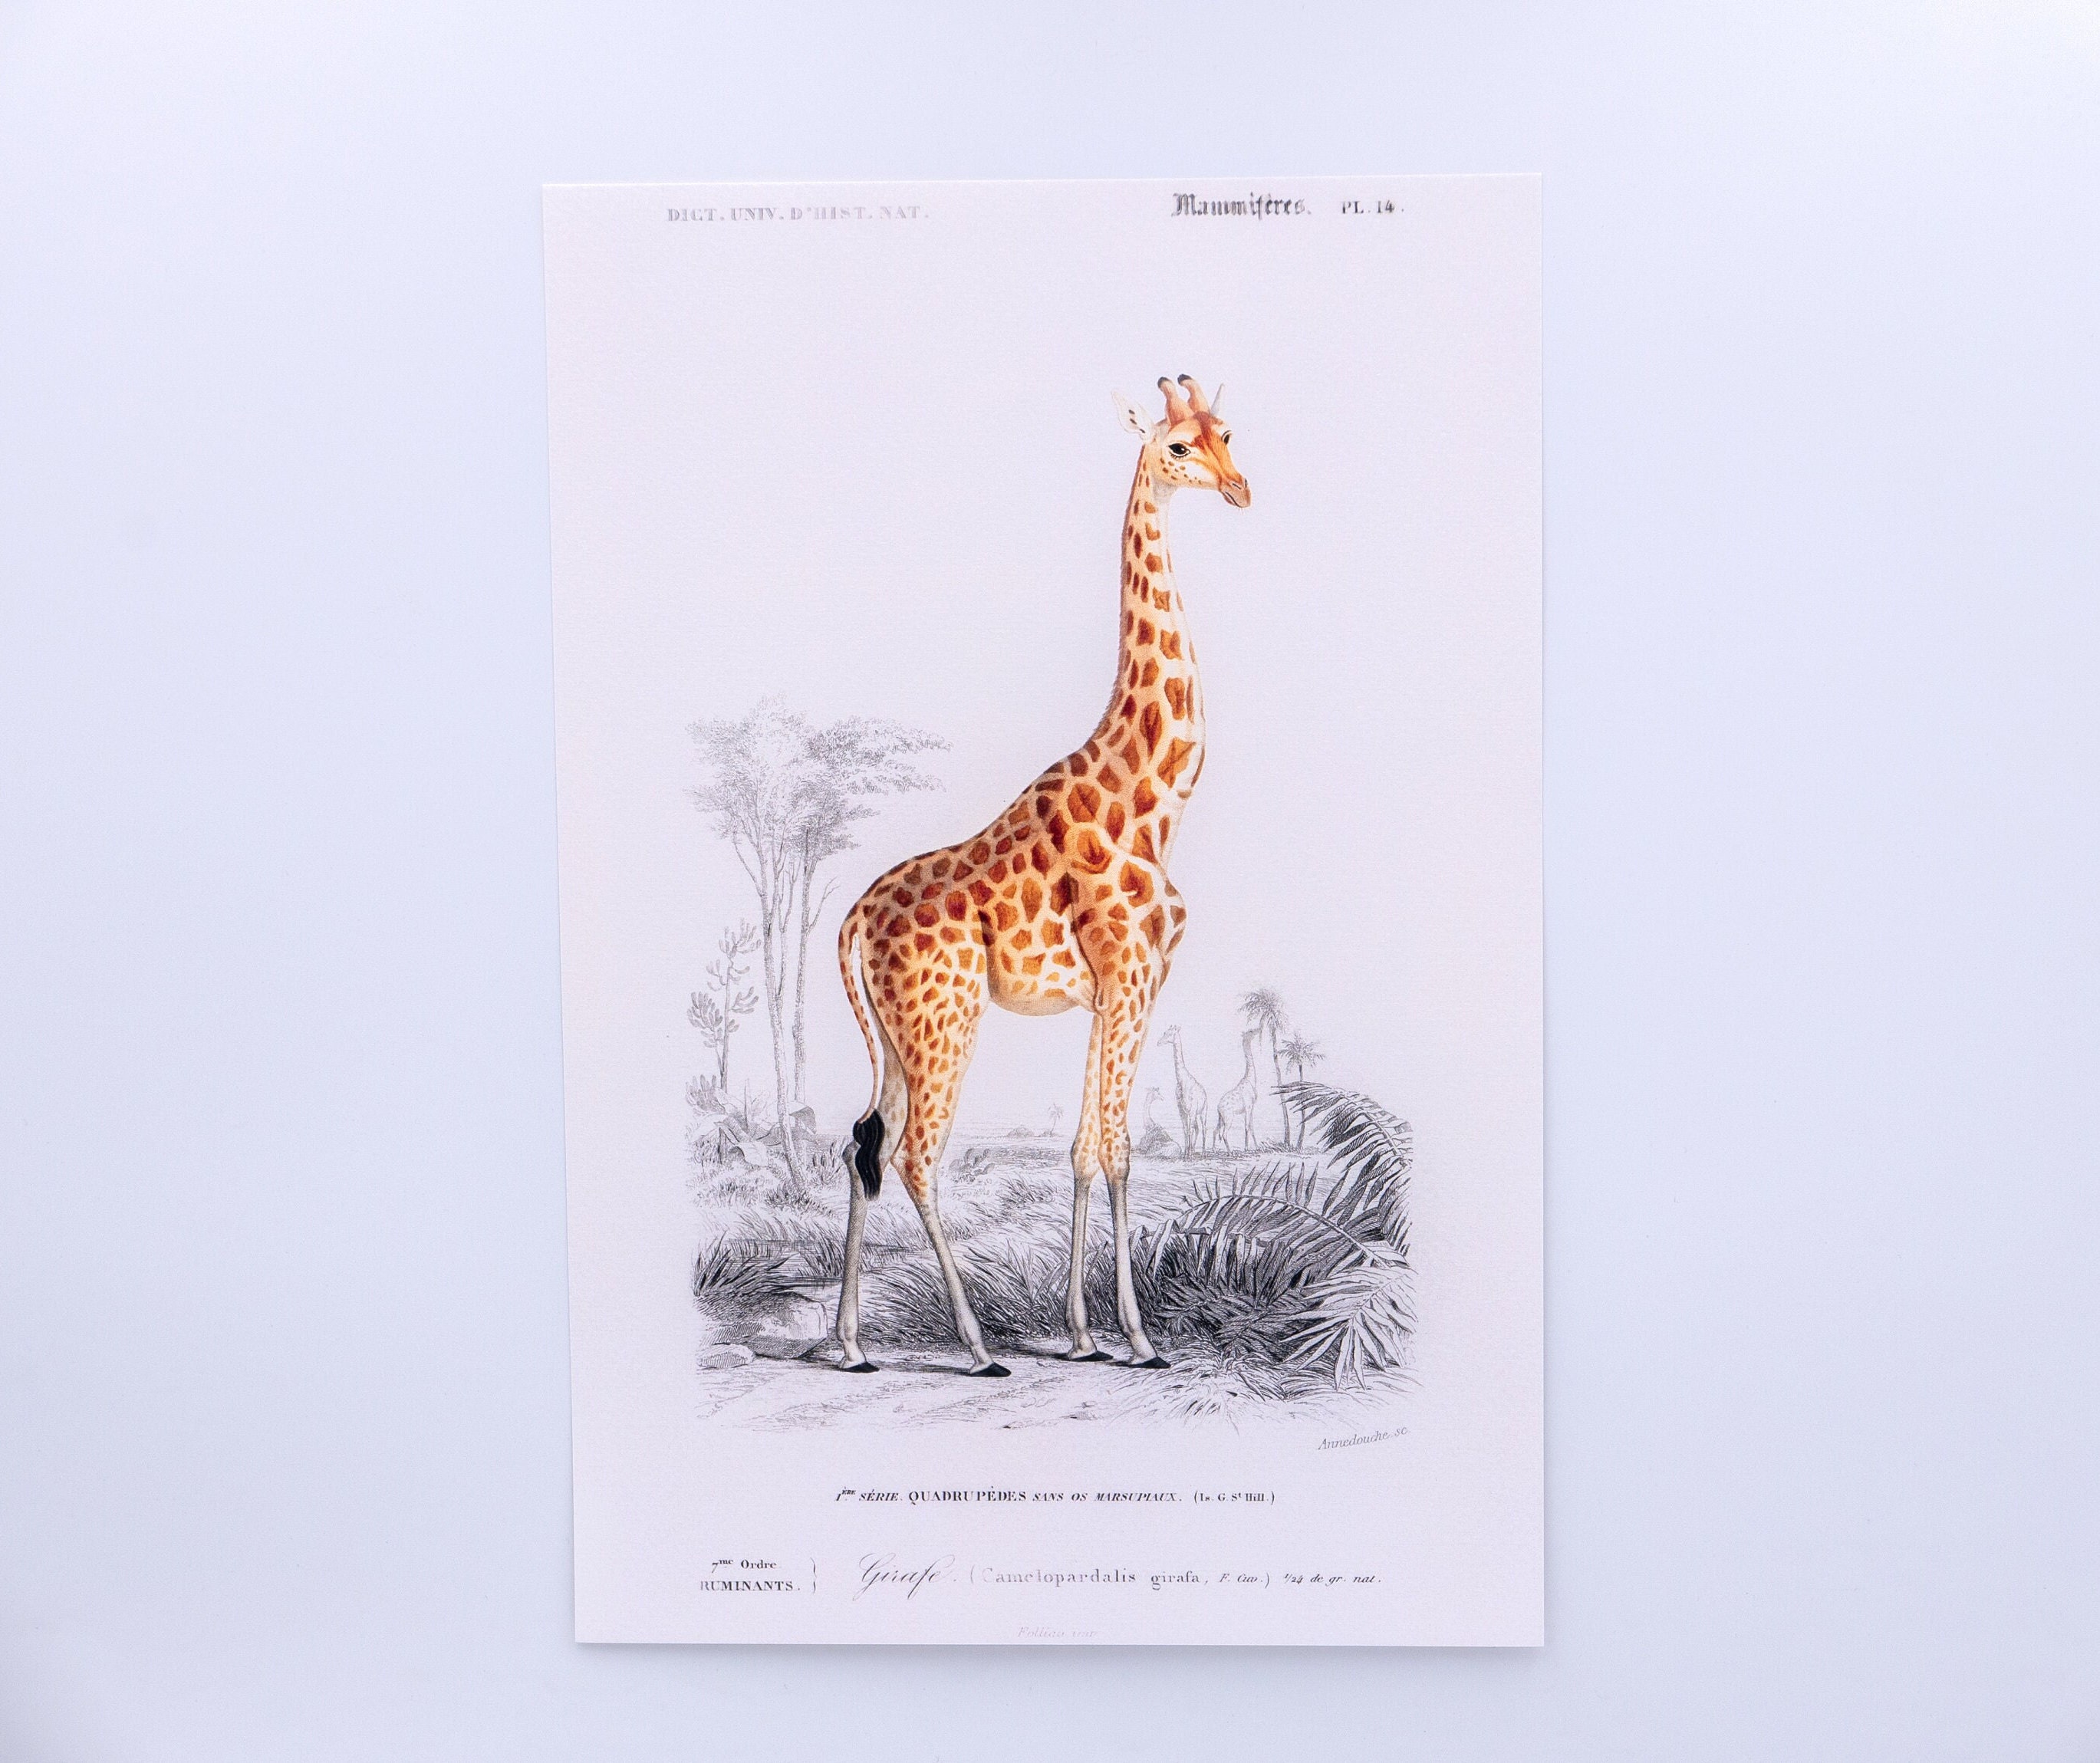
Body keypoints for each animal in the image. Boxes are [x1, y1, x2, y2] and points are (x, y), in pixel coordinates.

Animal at [1157, 1024, 1210, 1159]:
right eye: (1164, 1032)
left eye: (1169, 1034)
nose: (1158, 1042)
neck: (1181, 1080)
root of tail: (1205, 1093)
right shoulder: (1182, 1111)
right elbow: (1185, 1131)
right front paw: (1186, 1153)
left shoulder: (1191, 1111)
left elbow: (1189, 1130)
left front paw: (1189, 1154)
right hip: (1194, 1114)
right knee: (1196, 1129)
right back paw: (1193, 1150)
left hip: (1203, 1112)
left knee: (1204, 1129)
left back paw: (1203, 1152)